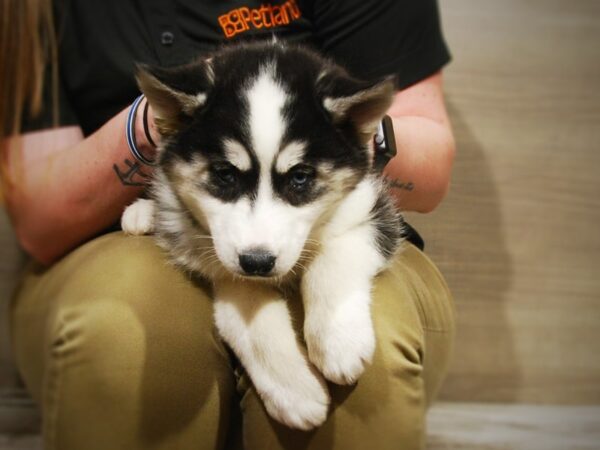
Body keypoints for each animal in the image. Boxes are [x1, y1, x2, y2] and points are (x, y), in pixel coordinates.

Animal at [121, 41, 404, 428]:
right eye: (224, 173)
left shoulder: (374, 209)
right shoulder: (225, 263)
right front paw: (295, 391)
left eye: (300, 176)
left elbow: (334, 258)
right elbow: (248, 316)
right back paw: (143, 212)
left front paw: (338, 340)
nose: (257, 262)